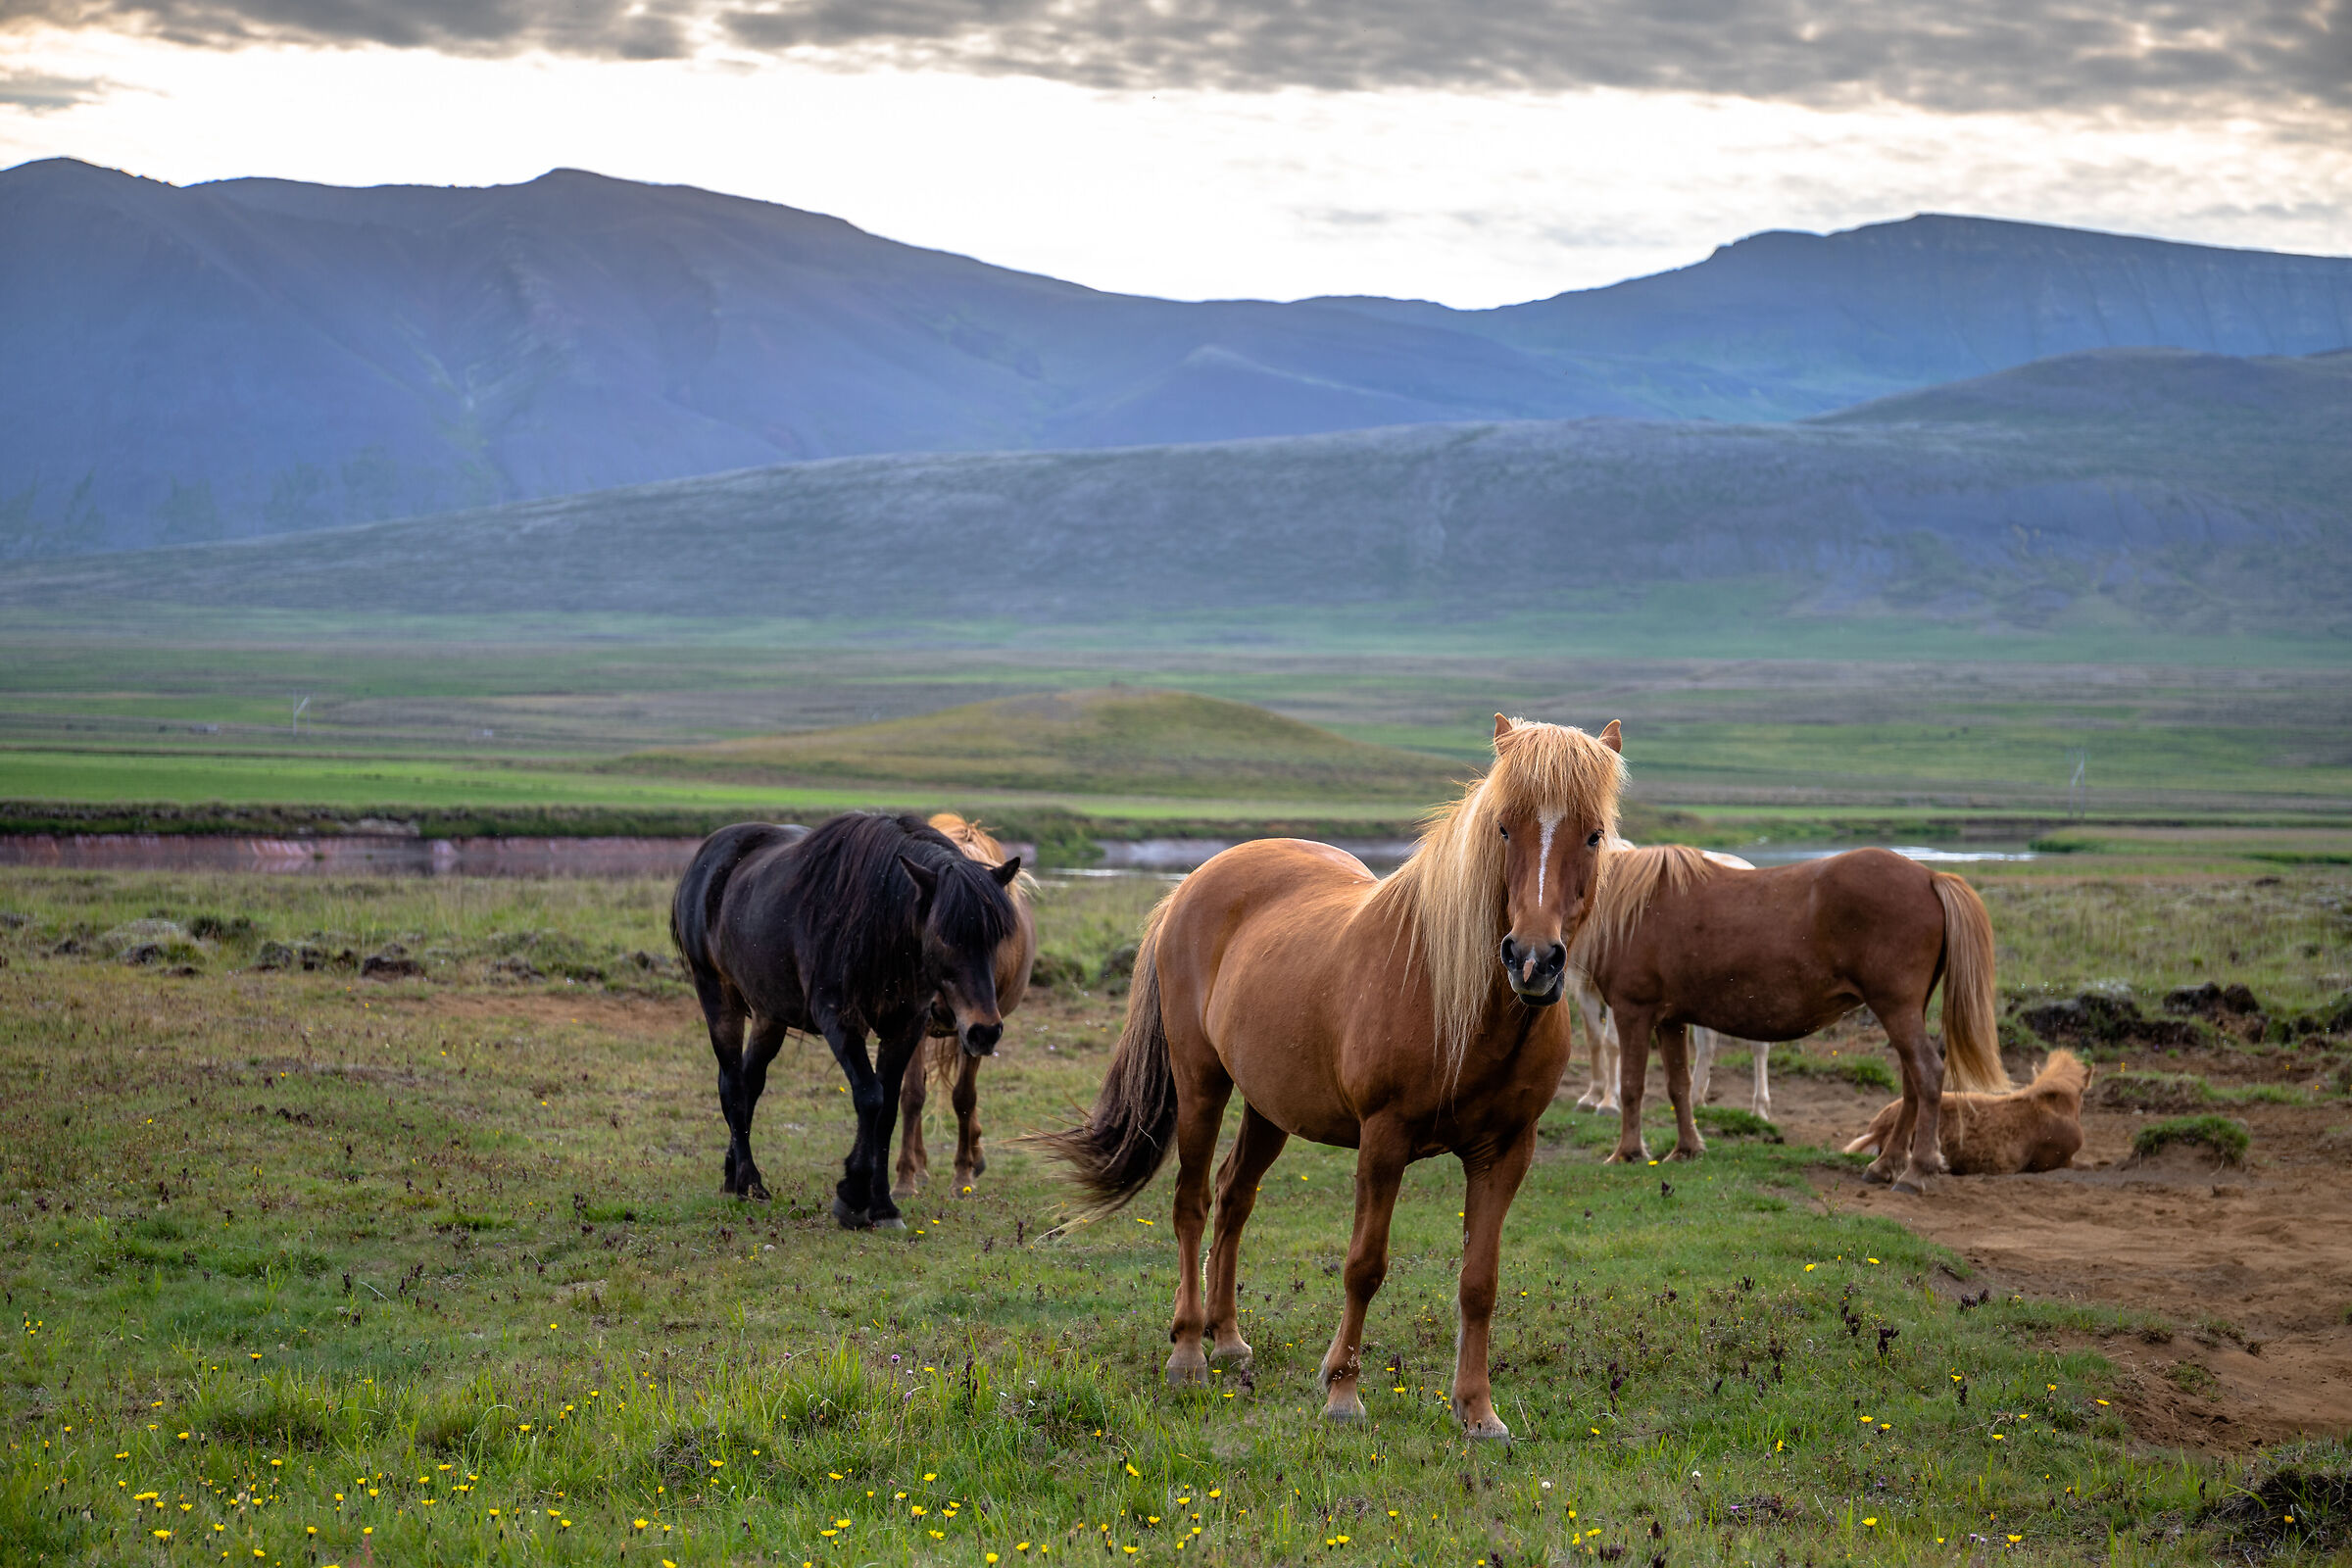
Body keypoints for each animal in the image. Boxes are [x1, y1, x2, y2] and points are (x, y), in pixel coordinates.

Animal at [670, 812, 1023, 1228]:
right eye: (943, 935)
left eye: (997, 935)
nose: (984, 1031)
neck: (879, 923)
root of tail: (705, 856)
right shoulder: (838, 1020)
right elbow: (870, 1097)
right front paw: (852, 1196)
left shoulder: (905, 1026)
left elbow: (888, 1110)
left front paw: (883, 1205)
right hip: (716, 994)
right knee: (731, 1086)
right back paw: (751, 1185)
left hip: (769, 1014)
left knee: (750, 1083)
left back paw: (732, 1176)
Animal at [893, 813, 1039, 1200]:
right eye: (937, 934)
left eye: (999, 936)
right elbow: (912, 1095)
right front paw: (904, 1179)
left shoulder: (980, 1029)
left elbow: (963, 1097)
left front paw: (962, 1176)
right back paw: (922, 1166)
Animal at [1034, 715, 1625, 1441]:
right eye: (1504, 827)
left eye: (1593, 834)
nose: (1533, 960)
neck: (1456, 996)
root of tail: (1195, 881)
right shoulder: (1384, 1139)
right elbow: (1363, 1267)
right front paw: (1343, 1392)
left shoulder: (1506, 1150)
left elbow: (1479, 1283)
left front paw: (1478, 1410)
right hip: (1202, 1083)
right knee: (1192, 1204)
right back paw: (1189, 1352)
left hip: (1269, 1106)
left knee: (1233, 1197)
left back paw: (1228, 1339)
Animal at [1569, 843, 1770, 1120]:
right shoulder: (1585, 988)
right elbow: (1594, 1041)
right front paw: (1592, 1096)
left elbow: (1612, 1044)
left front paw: (1609, 1102)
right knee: (1707, 1044)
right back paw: (1696, 1099)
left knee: (1759, 1047)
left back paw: (1759, 1109)